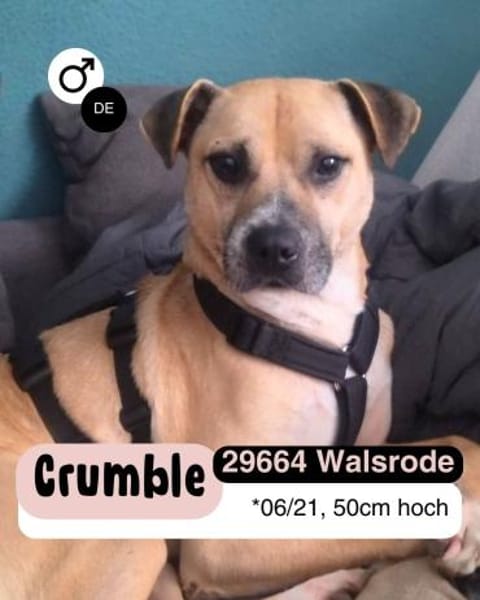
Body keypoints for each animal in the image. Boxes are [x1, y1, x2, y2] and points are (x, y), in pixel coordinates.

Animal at [0, 77, 479, 600]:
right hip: (130, 536)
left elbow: (456, 440)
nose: (272, 247)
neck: (311, 332)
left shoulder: (366, 444)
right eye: (226, 164)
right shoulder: (224, 543)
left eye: (328, 164)